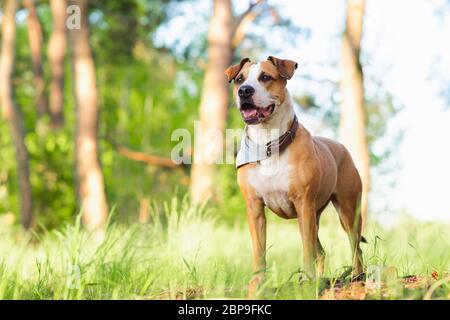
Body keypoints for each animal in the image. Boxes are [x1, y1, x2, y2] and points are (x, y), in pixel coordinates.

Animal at [225, 56, 366, 296]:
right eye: (239, 79)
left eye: (265, 77)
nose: (244, 91)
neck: (268, 142)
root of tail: (339, 146)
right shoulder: (255, 208)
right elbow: (259, 250)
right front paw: (257, 284)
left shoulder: (303, 203)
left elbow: (307, 250)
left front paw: (308, 281)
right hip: (315, 215)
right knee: (322, 251)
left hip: (347, 211)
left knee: (354, 246)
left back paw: (357, 277)